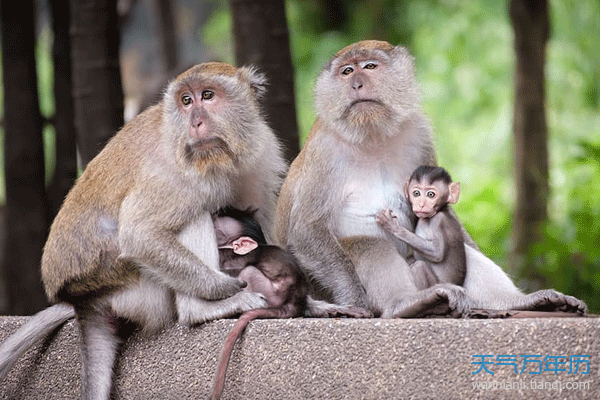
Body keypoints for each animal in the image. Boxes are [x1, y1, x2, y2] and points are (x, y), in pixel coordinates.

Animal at [0, 61, 288, 398]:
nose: (196, 123)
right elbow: (140, 235)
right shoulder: (173, 173)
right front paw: (227, 287)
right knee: (194, 215)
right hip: (133, 287)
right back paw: (200, 309)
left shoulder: (260, 151)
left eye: (207, 95)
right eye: (186, 101)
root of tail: (83, 300)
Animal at [276, 39, 584, 318]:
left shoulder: (418, 131)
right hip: (318, 286)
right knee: (368, 244)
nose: (356, 85)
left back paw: (519, 301)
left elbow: (443, 211)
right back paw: (404, 304)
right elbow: (307, 229)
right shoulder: (324, 152)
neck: (372, 136)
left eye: (370, 66)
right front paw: (355, 300)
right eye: (347, 71)